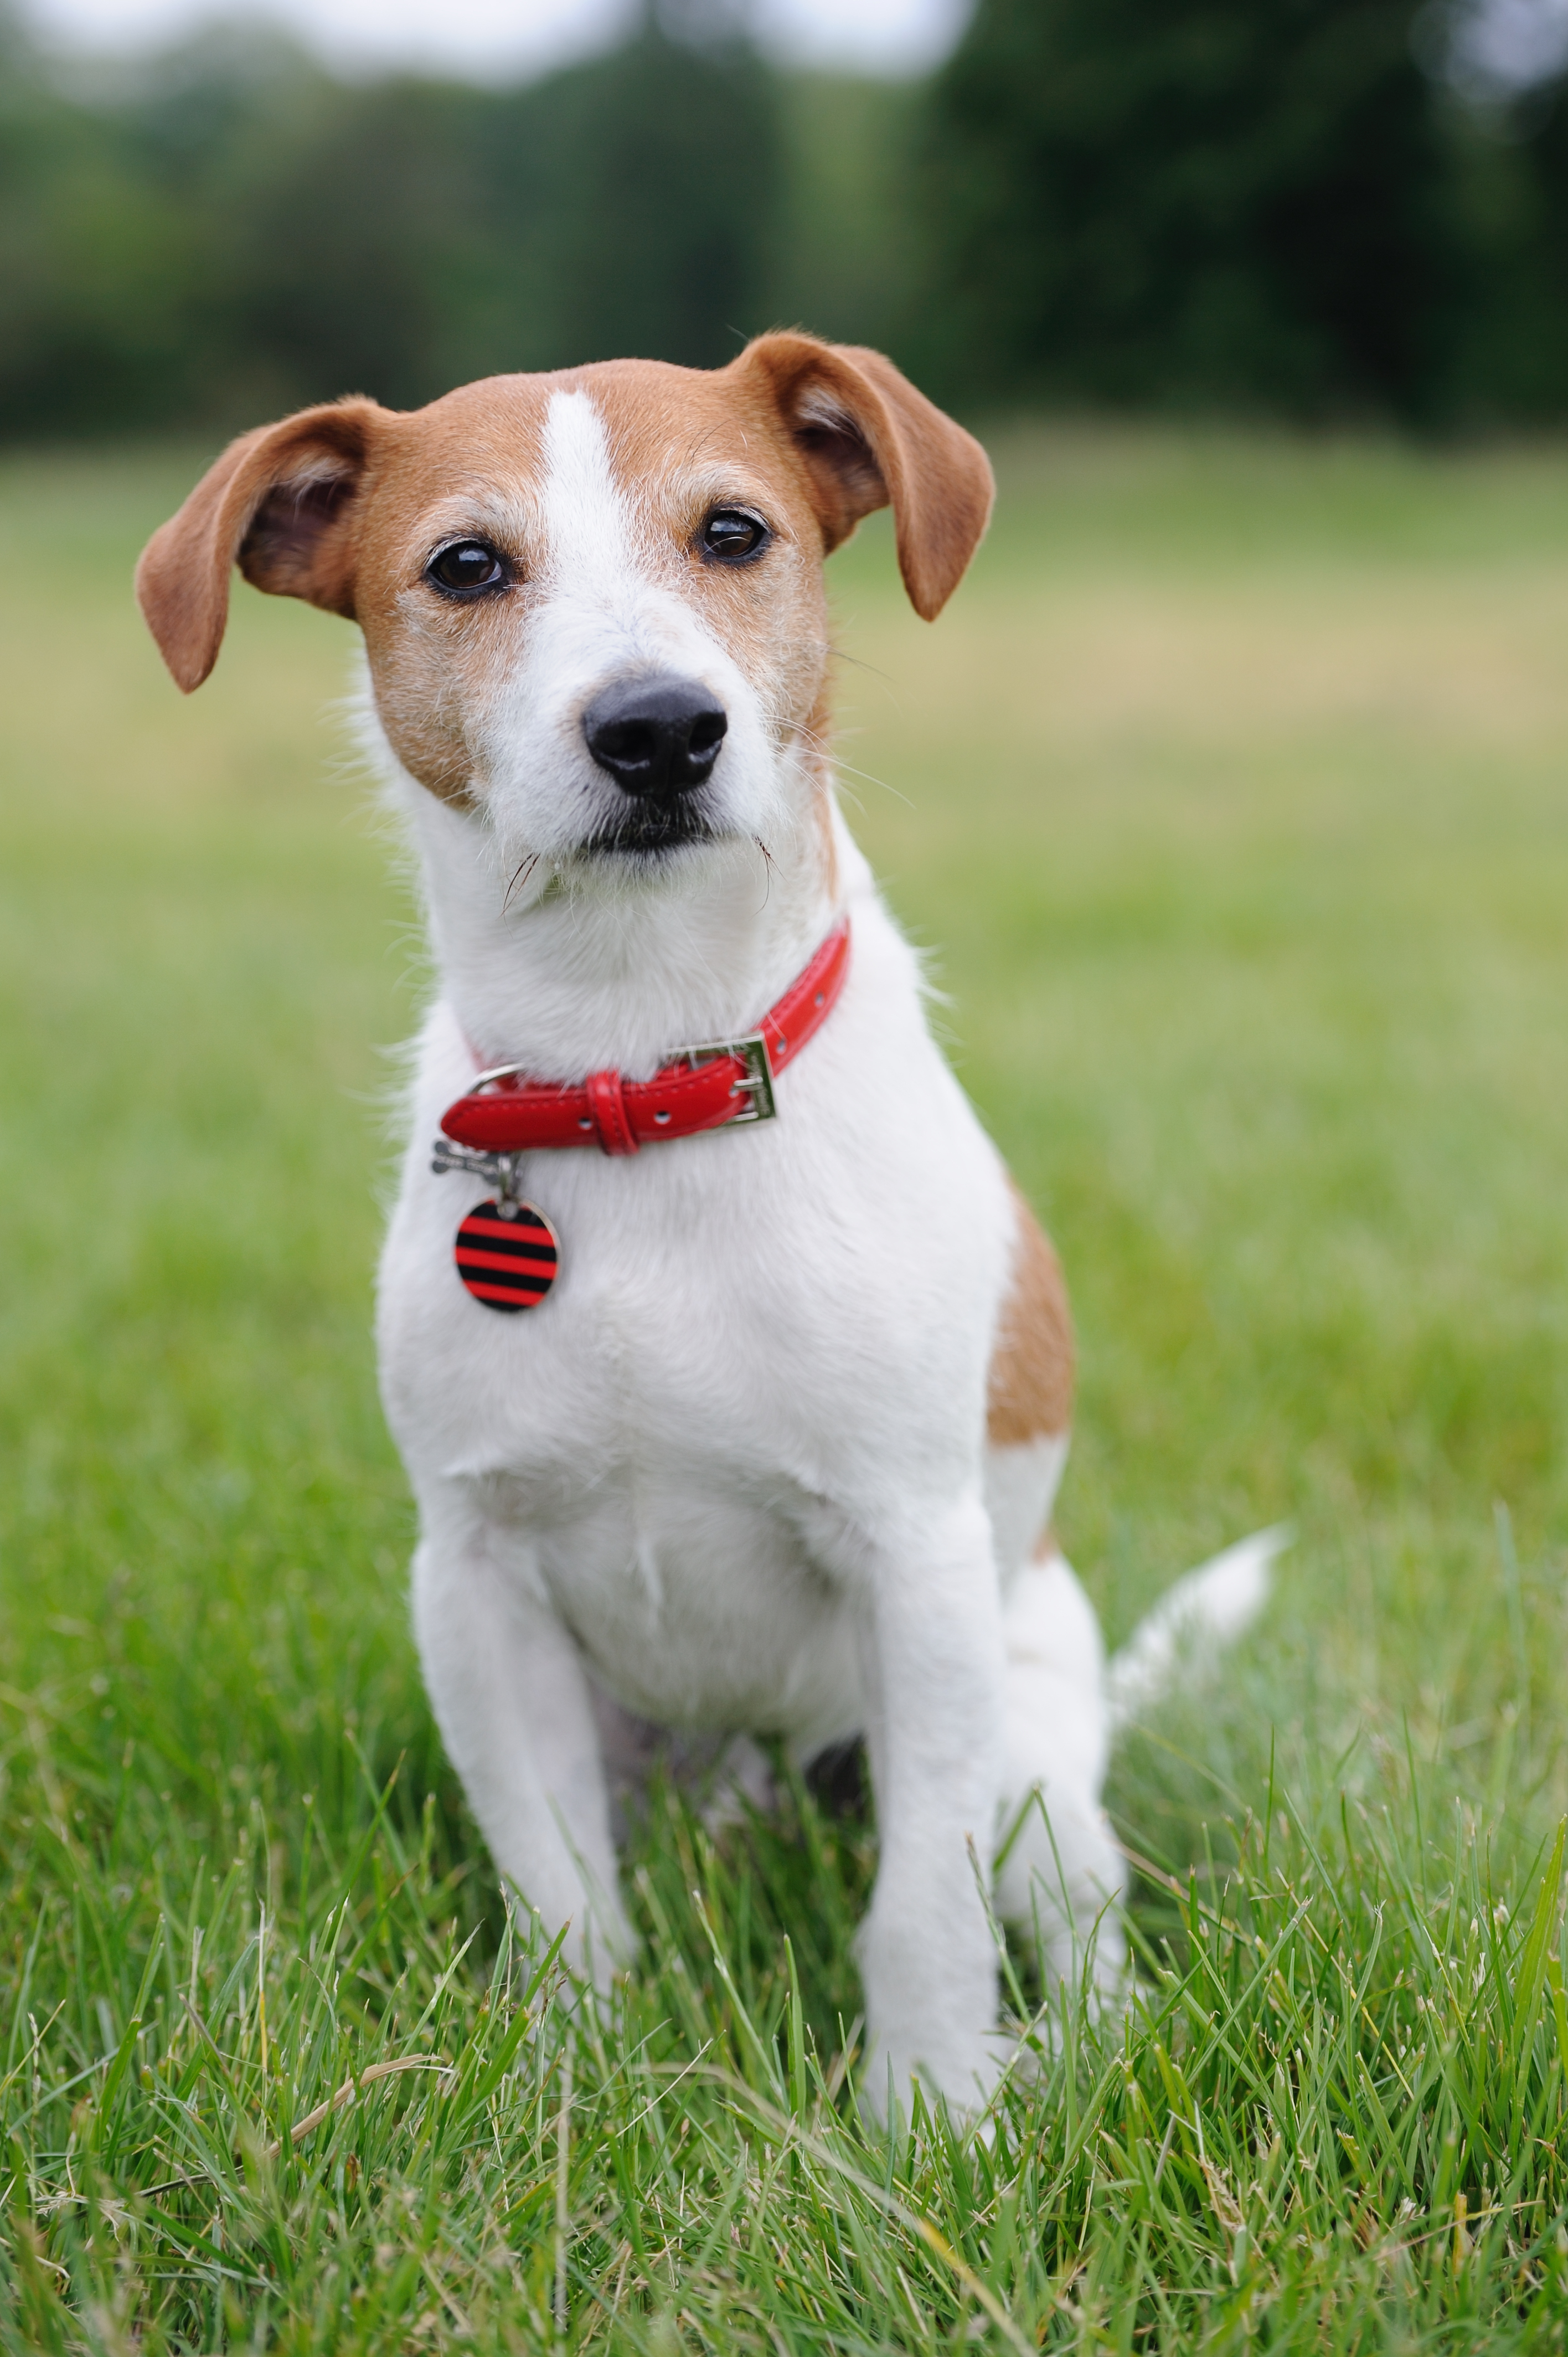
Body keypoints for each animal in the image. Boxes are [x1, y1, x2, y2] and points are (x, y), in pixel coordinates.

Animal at [137, 342, 1282, 2130]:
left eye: (734, 532)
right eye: (465, 565)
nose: (658, 729)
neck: (638, 1071)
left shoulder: (916, 1558)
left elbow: (924, 1903)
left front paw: (929, 2114)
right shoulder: (472, 1585)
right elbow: (558, 1891)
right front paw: (566, 2077)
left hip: (1027, 1727)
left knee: (1074, 1908)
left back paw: (1061, 2048)